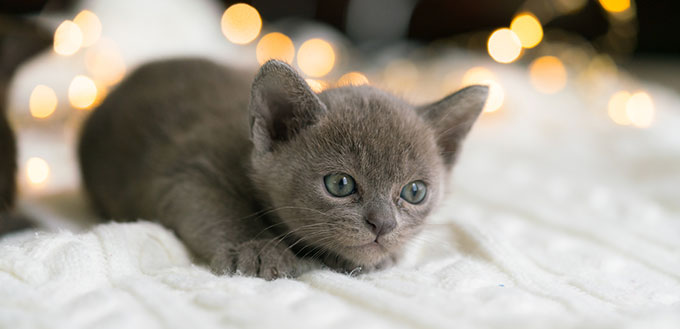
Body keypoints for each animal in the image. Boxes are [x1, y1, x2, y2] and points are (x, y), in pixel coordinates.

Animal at [77, 57, 486, 278]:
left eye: (414, 192)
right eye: (340, 184)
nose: (383, 224)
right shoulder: (186, 172)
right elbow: (220, 207)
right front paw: (258, 249)